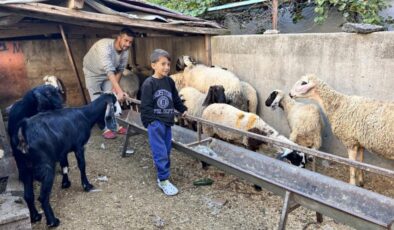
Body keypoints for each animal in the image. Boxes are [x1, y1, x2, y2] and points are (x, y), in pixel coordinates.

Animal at [17, 93, 118, 226]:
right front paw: (87, 185)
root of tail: (24, 130)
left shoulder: (63, 150)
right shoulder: (79, 146)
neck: (86, 115)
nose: (120, 112)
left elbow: (65, 165)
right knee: (42, 197)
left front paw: (65, 183)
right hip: (46, 166)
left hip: (24, 167)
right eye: (115, 104)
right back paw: (53, 221)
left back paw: (35, 217)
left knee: (28, 195)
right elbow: (82, 165)